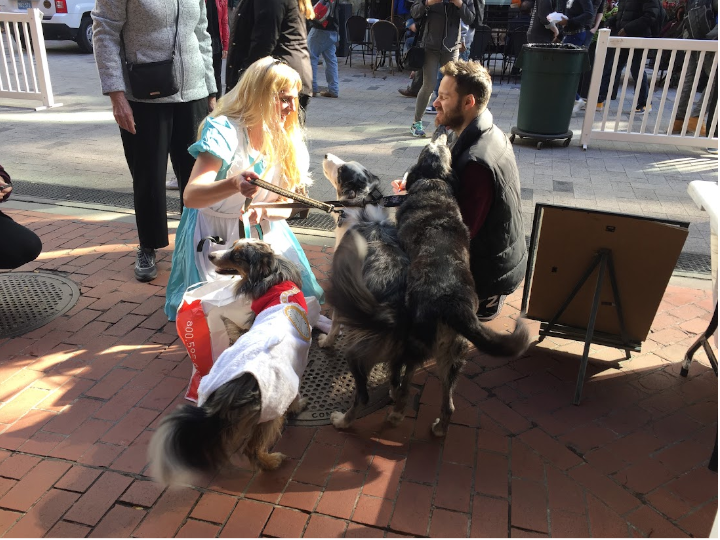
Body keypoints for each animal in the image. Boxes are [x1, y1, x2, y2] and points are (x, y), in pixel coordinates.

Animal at [149, 240, 310, 486]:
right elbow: (295, 397)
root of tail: (229, 392)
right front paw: (298, 405)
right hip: (270, 408)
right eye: (233, 248)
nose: (210, 255)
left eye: (237, 256)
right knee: (251, 448)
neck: (274, 282)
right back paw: (271, 462)